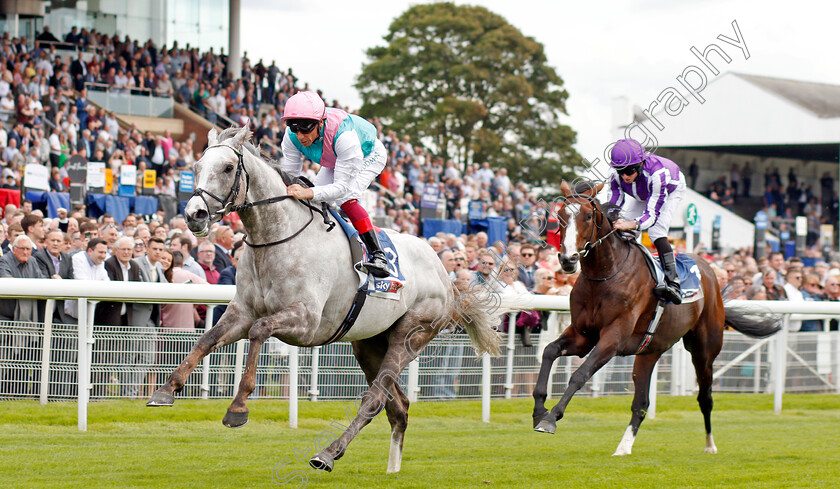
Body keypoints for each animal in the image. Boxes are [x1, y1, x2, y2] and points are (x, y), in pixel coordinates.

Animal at [145, 127, 502, 472]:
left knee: (375, 399)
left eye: (228, 167)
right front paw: (165, 391)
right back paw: (391, 468)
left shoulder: (306, 321)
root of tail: (445, 274)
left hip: (411, 333)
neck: (276, 238)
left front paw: (238, 407)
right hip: (369, 342)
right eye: (196, 167)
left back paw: (328, 454)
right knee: (397, 405)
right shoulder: (241, 312)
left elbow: (260, 330)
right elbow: (206, 339)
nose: (194, 214)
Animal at [532, 179, 780, 454]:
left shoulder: (613, 338)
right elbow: (549, 351)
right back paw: (623, 448)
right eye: (560, 216)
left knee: (705, 397)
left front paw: (551, 419)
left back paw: (710, 445)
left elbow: (580, 374)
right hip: (649, 352)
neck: (605, 275)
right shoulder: (582, 335)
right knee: (641, 403)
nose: (568, 259)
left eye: (587, 215)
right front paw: (539, 410)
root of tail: (710, 272)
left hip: (704, 349)